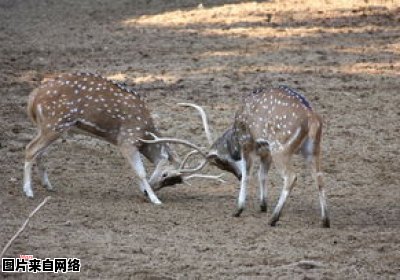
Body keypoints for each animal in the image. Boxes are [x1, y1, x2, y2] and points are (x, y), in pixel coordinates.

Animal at [23, 72, 222, 203]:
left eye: (173, 182)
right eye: (165, 174)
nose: (147, 192)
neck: (146, 132)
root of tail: (33, 97)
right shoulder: (126, 140)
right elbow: (140, 171)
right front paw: (155, 199)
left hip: (49, 127)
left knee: (40, 152)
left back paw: (48, 185)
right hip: (54, 124)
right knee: (30, 149)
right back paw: (28, 192)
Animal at [142, 86, 330, 226]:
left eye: (220, 162)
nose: (236, 175)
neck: (235, 135)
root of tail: (312, 119)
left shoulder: (248, 143)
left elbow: (248, 175)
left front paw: (239, 209)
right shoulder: (265, 151)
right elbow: (262, 175)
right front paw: (262, 205)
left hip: (281, 148)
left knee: (291, 177)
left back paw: (273, 219)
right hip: (313, 149)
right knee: (319, 177)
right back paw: (325, 220)